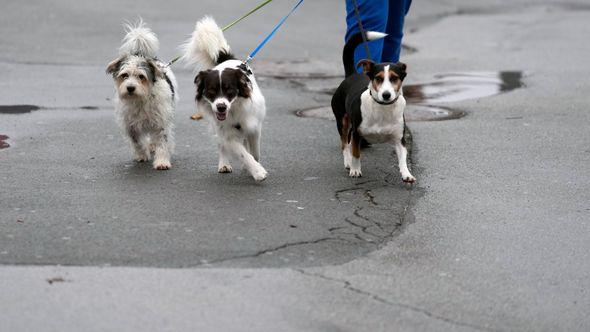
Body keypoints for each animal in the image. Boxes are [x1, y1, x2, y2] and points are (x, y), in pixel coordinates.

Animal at [106, 20, 177, 170]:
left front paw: (162, 161)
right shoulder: (130, 125)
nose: (130, 88)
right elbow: (137, 141)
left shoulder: (161, 122)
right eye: (124, 75)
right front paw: (142, 155)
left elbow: (162, 142)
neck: (140, 100)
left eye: (141, 76)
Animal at [184, 16, 270, 182]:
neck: (234, 111)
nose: (221, 107)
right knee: (221, 145)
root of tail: (227, 59)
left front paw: (254, 167)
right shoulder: (226, 133)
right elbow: (242, 152)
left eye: (229, 90)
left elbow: (254, 152)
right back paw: (224, 164)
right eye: (211, 91)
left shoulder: (254, 126)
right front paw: (257, 171)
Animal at [332, 31, 416, 183]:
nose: (386, 95)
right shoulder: (357, 134)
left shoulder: (399, 138)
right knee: (344, 143)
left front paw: (407, 174)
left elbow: (403, 158)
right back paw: (348, 162)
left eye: (394, 78)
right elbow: (356, 153)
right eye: (378, 78)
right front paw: (355, 170)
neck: (383, 108)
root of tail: (352, 75)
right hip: (342, 122)